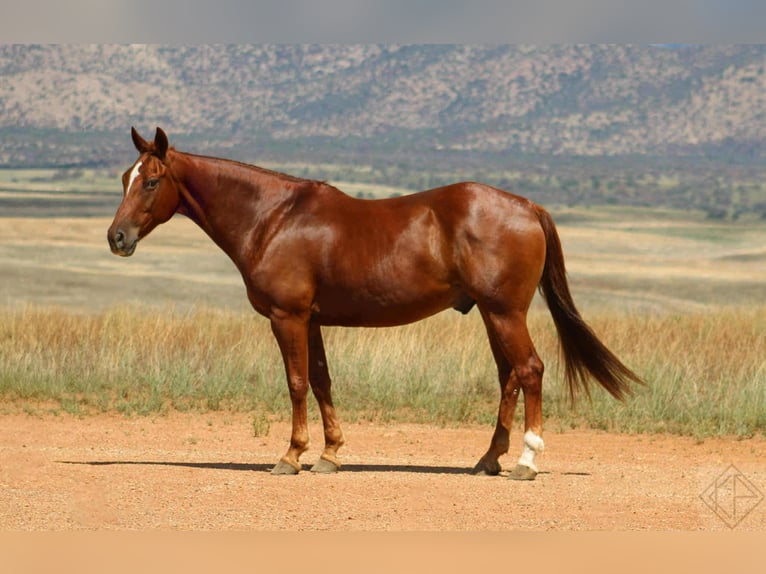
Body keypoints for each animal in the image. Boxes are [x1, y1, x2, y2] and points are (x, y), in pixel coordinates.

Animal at [108, 127, 643, 480]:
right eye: (123, 177)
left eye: (151, 181)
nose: (117, 238)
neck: (273, 218)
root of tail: (528, 206)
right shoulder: (313, 321)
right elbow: (321, 380)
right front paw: (330, 455)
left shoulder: (288, 318)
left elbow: (296, 383)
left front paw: (291, 456)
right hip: (494, 316)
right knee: (508, 377)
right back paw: (489, 459)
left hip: (505, 313)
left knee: (530, 370)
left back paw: (527, 462)